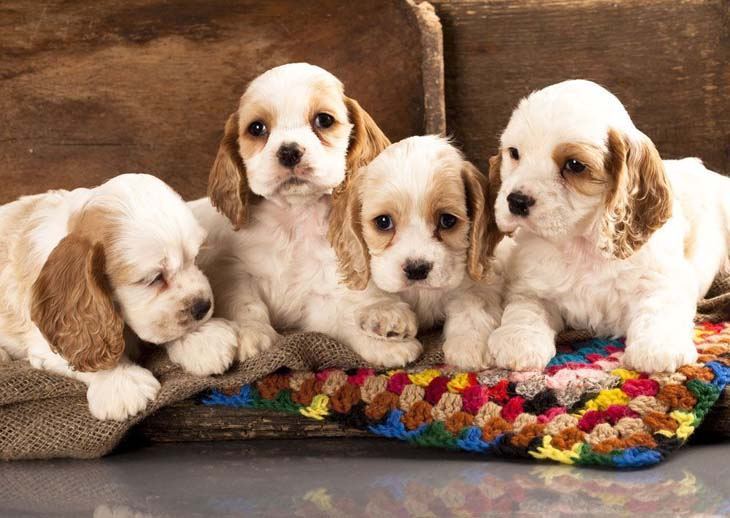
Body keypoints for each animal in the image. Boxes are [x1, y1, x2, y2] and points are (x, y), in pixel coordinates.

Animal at [0, 175, 236, 422]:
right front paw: (121, 381)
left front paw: (202, 338)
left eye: (195, 258)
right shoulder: (47, 341)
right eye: (154, 279)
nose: (203, 306)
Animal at [189, 62, 420, 370]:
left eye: (323, 120)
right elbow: (245, 302)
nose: (289, 151)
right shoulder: (232, 271)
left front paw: (384, 345)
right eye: (257, 128)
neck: (293, 219)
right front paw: (251, 333)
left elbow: (342, 318)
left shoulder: (317, 298)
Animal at [328, 136, 504, 372]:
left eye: (447, 220)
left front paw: (471, 344)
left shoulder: (480, 279)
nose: (417, 269)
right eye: (383, 222)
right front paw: (386, 317)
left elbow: (473, 302)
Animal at [484, 79, 728, 374]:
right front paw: (519, 341)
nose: (516, 201)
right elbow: (525, 308)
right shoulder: (530, 285)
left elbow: (659, 307)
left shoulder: (663, 279)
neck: (582, 243)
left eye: (574, 165)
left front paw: (657, 348)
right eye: (514, 153)